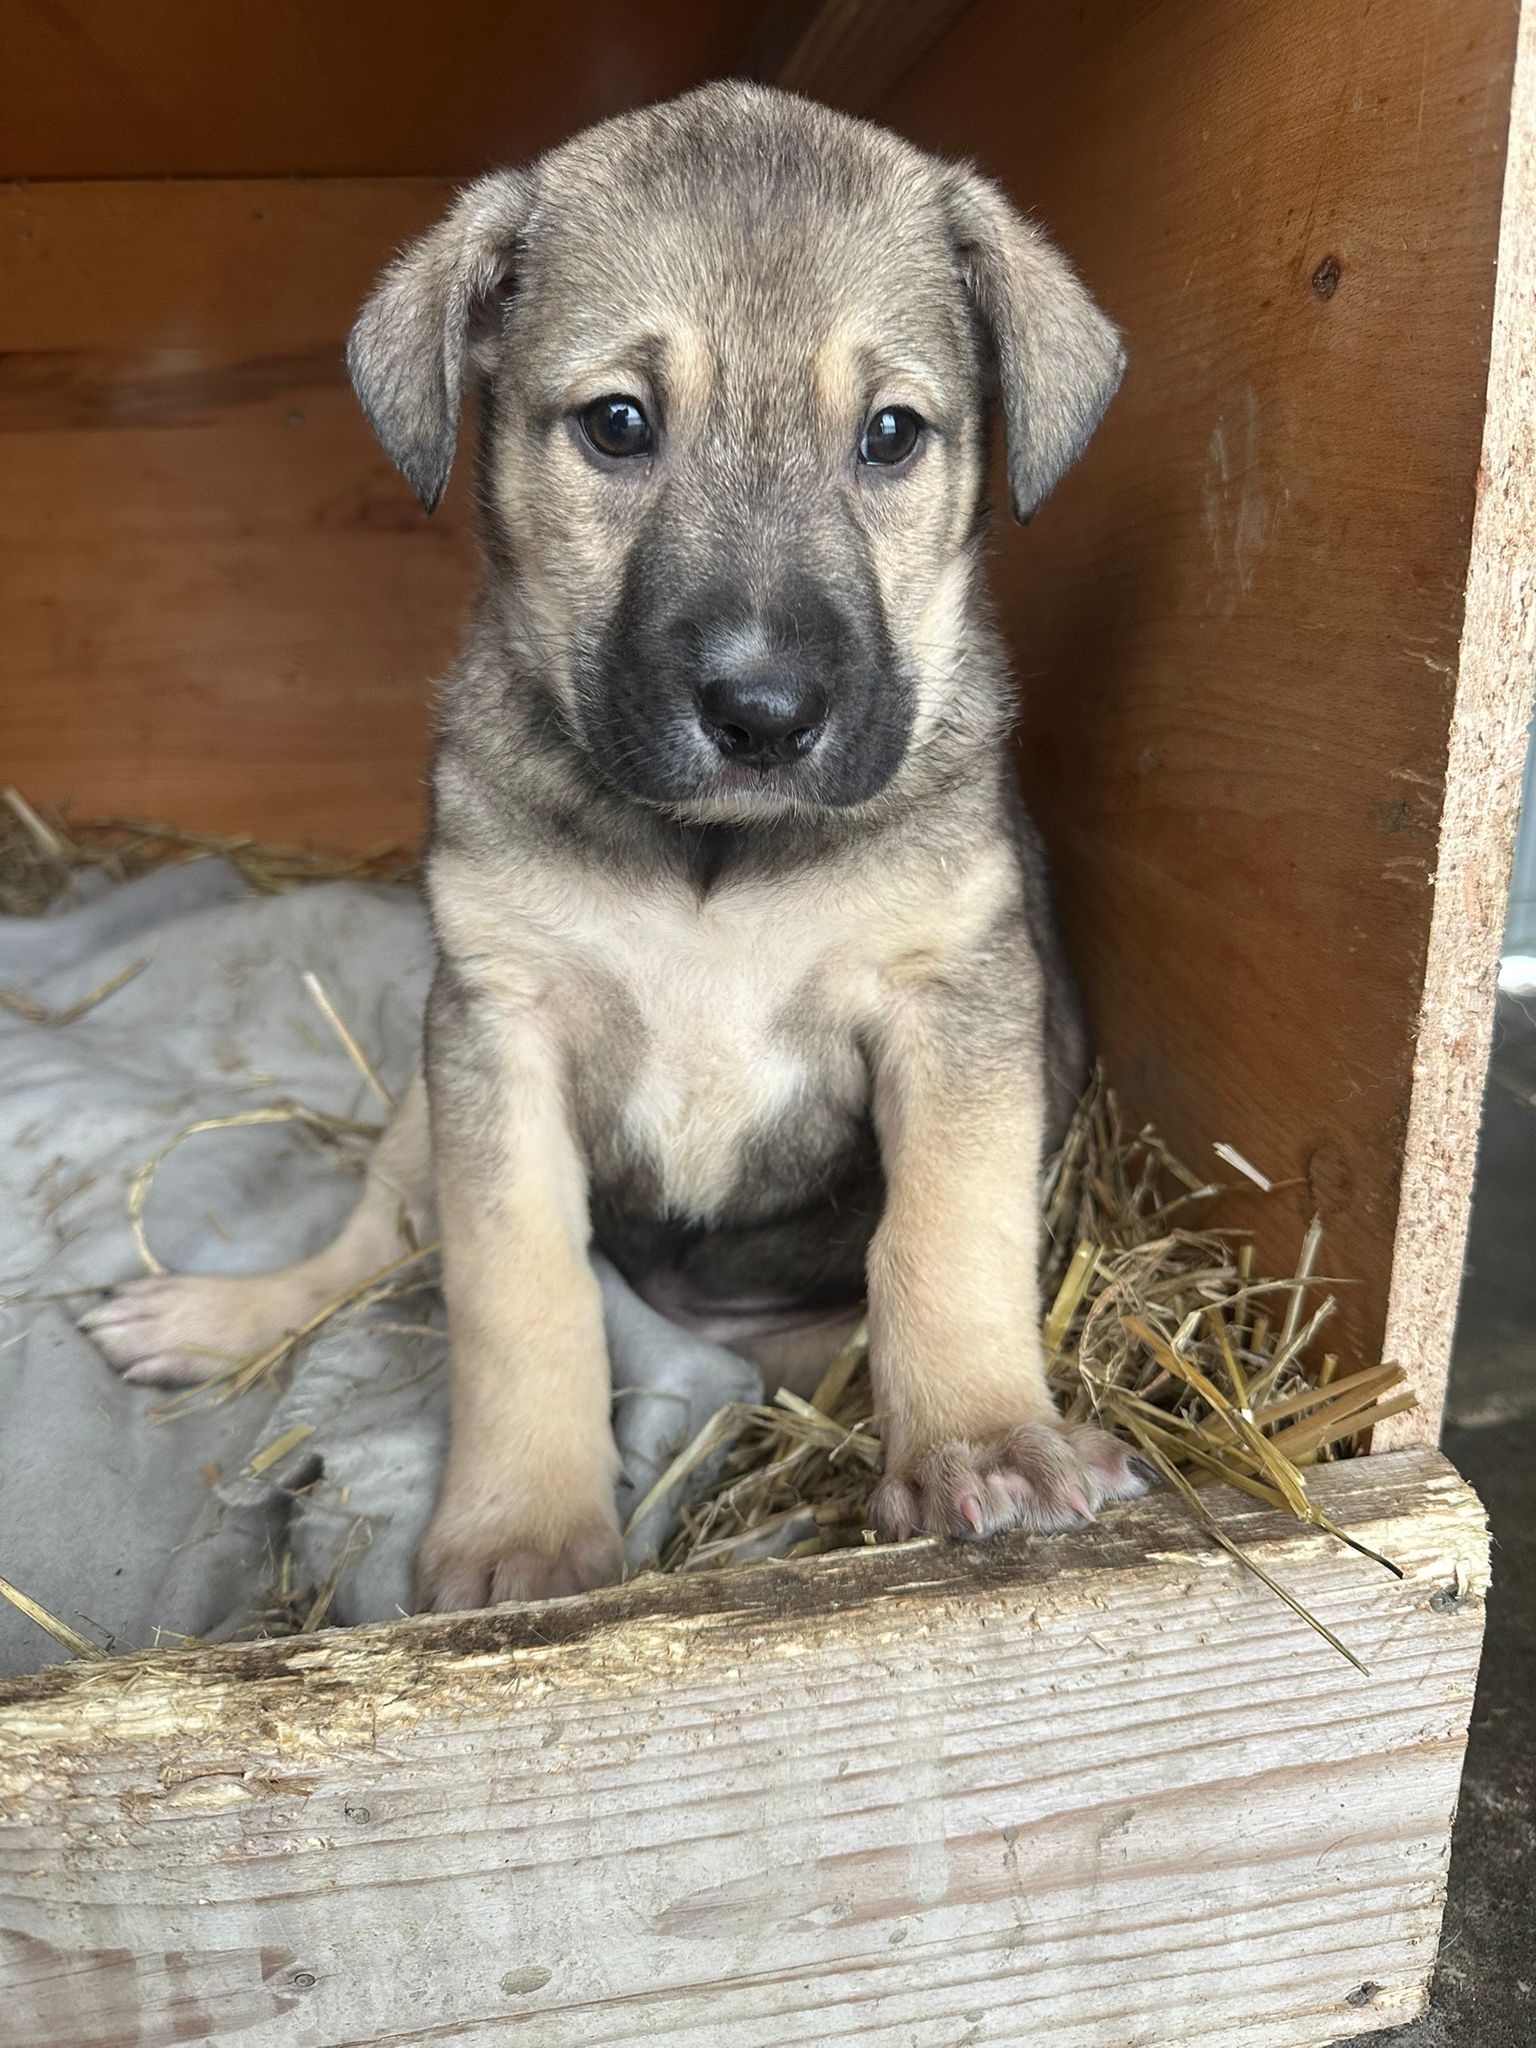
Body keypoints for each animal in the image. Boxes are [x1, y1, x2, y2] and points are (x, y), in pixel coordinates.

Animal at [83, 82, 1149, 1610]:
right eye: (620, 423)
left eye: (892, 434)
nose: (765, 715)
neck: (711, 858)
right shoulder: (495, 1027)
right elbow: (521, 1290)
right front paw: (521, 1530)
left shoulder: (955, 1001)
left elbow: (945, 1236)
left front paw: (984, 1442)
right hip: (418, 1113)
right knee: (372, 1253)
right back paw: (216, 1319)